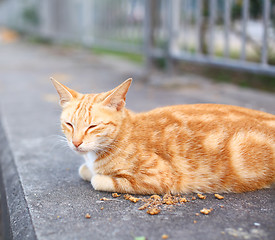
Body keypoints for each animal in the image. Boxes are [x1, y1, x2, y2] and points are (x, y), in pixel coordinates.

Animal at [51, 78, 275, 194]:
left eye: (93, 126)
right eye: (69, 124)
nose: (76, 143)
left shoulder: (160, 178)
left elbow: (97, 179)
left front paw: (96, 174)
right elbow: (84, 170)